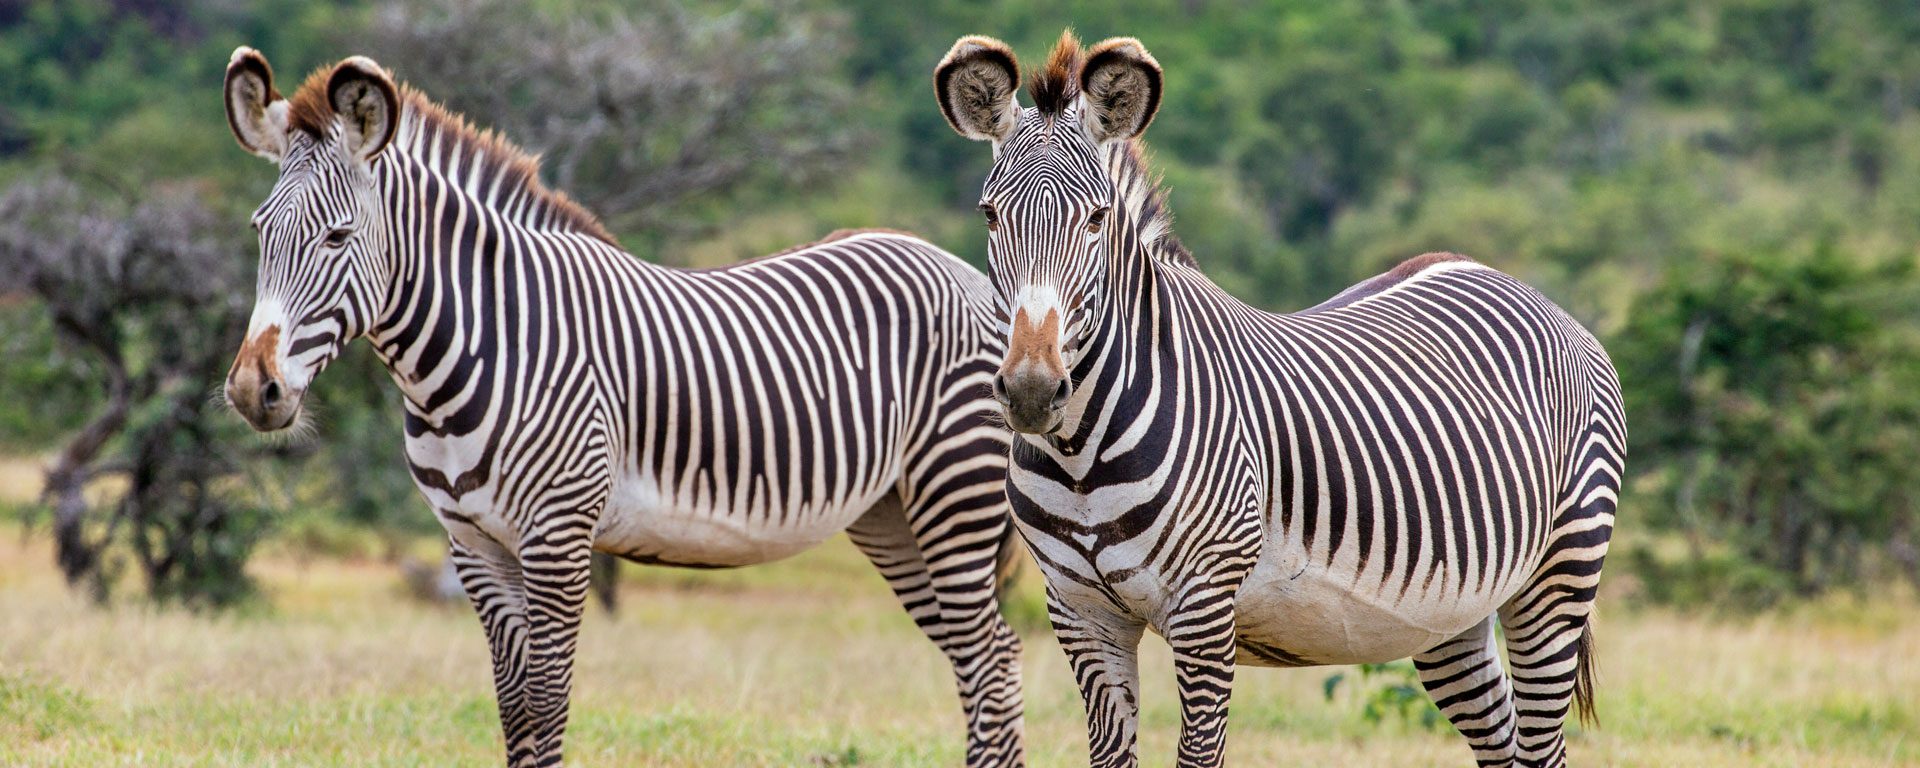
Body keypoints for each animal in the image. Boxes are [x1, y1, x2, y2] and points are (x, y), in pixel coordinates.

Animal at [217, 49, 1029, 768]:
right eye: (259, 230)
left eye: (338, 237)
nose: (254, 390)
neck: (488, 343)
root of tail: (972, 276)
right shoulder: (473, 544)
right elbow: (512, 707)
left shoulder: (559, 534)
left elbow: (547, 703)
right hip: (893, 516)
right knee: (986, 659)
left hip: (955, 495)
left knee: (991, 664)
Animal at [936, 31, 1628, 768]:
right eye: (989, 215)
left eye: (1096, 219)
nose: (1033, 391)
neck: (1079, 459)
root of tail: (1513, 283)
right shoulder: (1079, 612)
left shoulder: (1204, 607)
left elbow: (1199, 751)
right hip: (1452, 611)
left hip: (1560, 572)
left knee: (1543, 739)